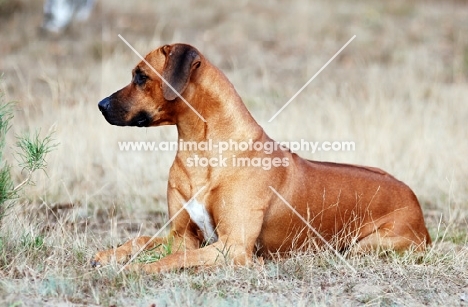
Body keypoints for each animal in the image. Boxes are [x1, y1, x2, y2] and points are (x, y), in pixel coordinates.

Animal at [94, 44, 432, 274]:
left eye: (140, 77)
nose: (101, 104)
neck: (202, 152)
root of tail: (418, 208)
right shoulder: (182, 235)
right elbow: (144, 240)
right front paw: (111, 255)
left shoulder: (233, 245)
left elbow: (178, 257)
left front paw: (135, 268)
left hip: (365, 247)